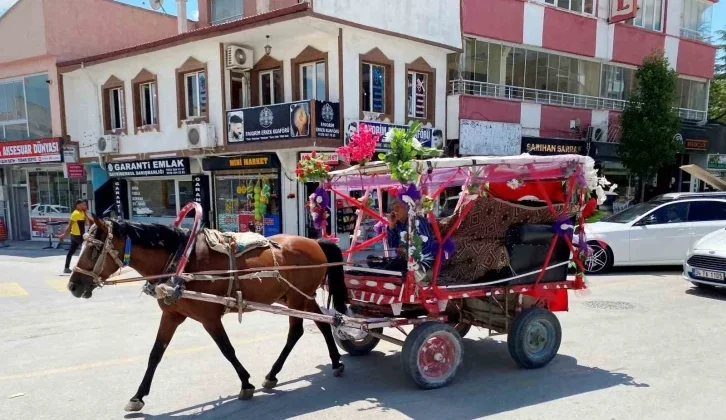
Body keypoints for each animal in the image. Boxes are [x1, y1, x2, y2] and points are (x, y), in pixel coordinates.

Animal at [68, 218, 350, 412]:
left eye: (93, 249)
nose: (73, 286)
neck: (181, 261)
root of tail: (315, 242)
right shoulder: (171, 315)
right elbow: (155, 354)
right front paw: (138, 396)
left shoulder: (209, 318)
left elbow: (227, 349)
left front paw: (245, 384)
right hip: (300, 296)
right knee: (322, 325)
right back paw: (331, 363)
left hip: (298, 297)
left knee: (298, 330)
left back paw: (279, 373)